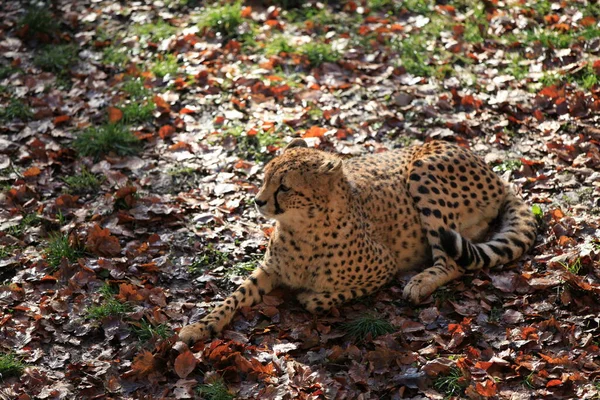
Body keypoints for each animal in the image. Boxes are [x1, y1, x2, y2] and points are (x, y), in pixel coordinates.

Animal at [177, 139, 536, 342]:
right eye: (264, 178)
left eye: (285, 187)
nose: (258, 201)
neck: (303, 229)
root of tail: (495, 174)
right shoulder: (269, 270)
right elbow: (233, 297)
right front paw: (199, 327)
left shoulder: (384, 267)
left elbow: (319, 298)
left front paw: (310, 295)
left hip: (424, 170)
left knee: (452, 263)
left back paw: (419, 283)